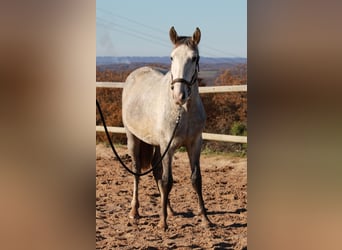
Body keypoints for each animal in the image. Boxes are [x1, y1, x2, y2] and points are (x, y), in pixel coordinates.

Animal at [120, 26, 211, 230]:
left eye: (194, 58)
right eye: (171, 57)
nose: (179, 95)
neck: (183, 111)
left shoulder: (195, 144)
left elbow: (196, 179)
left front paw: (205, 218)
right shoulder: (168, 147)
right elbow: (168, 181)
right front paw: (162, 223)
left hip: (155, 143)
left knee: (156, 171)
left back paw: (169, 210)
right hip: (134, 139)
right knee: (138, 171)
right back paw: (134, 211)